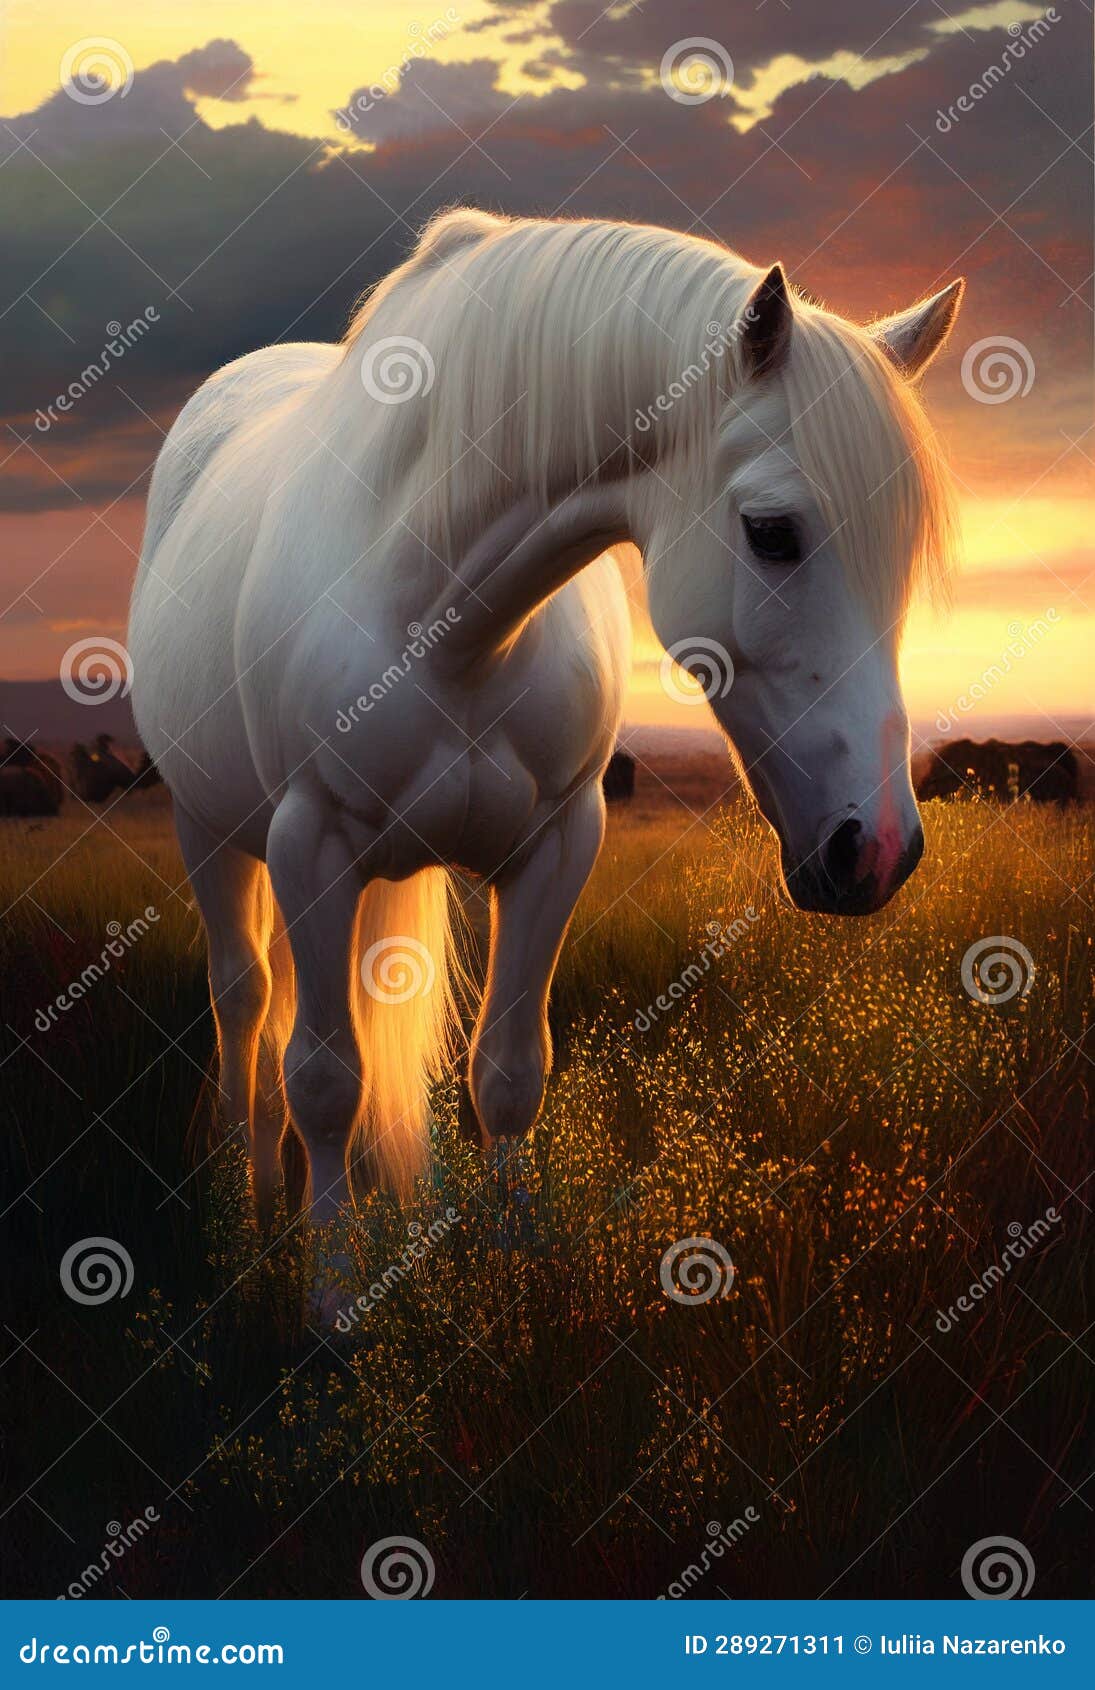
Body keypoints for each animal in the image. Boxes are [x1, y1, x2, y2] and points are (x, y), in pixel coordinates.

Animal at [128, 208, 963, 1242]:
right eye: (772, 533)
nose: (877, 849)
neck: (446, 624)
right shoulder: (311, 844)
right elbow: (325, 1083)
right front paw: (331, 1278)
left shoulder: (557, 845)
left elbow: (509, 1074)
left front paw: (516, 1262)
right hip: (209, 829)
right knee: (245, 1001)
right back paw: (254, 1203)